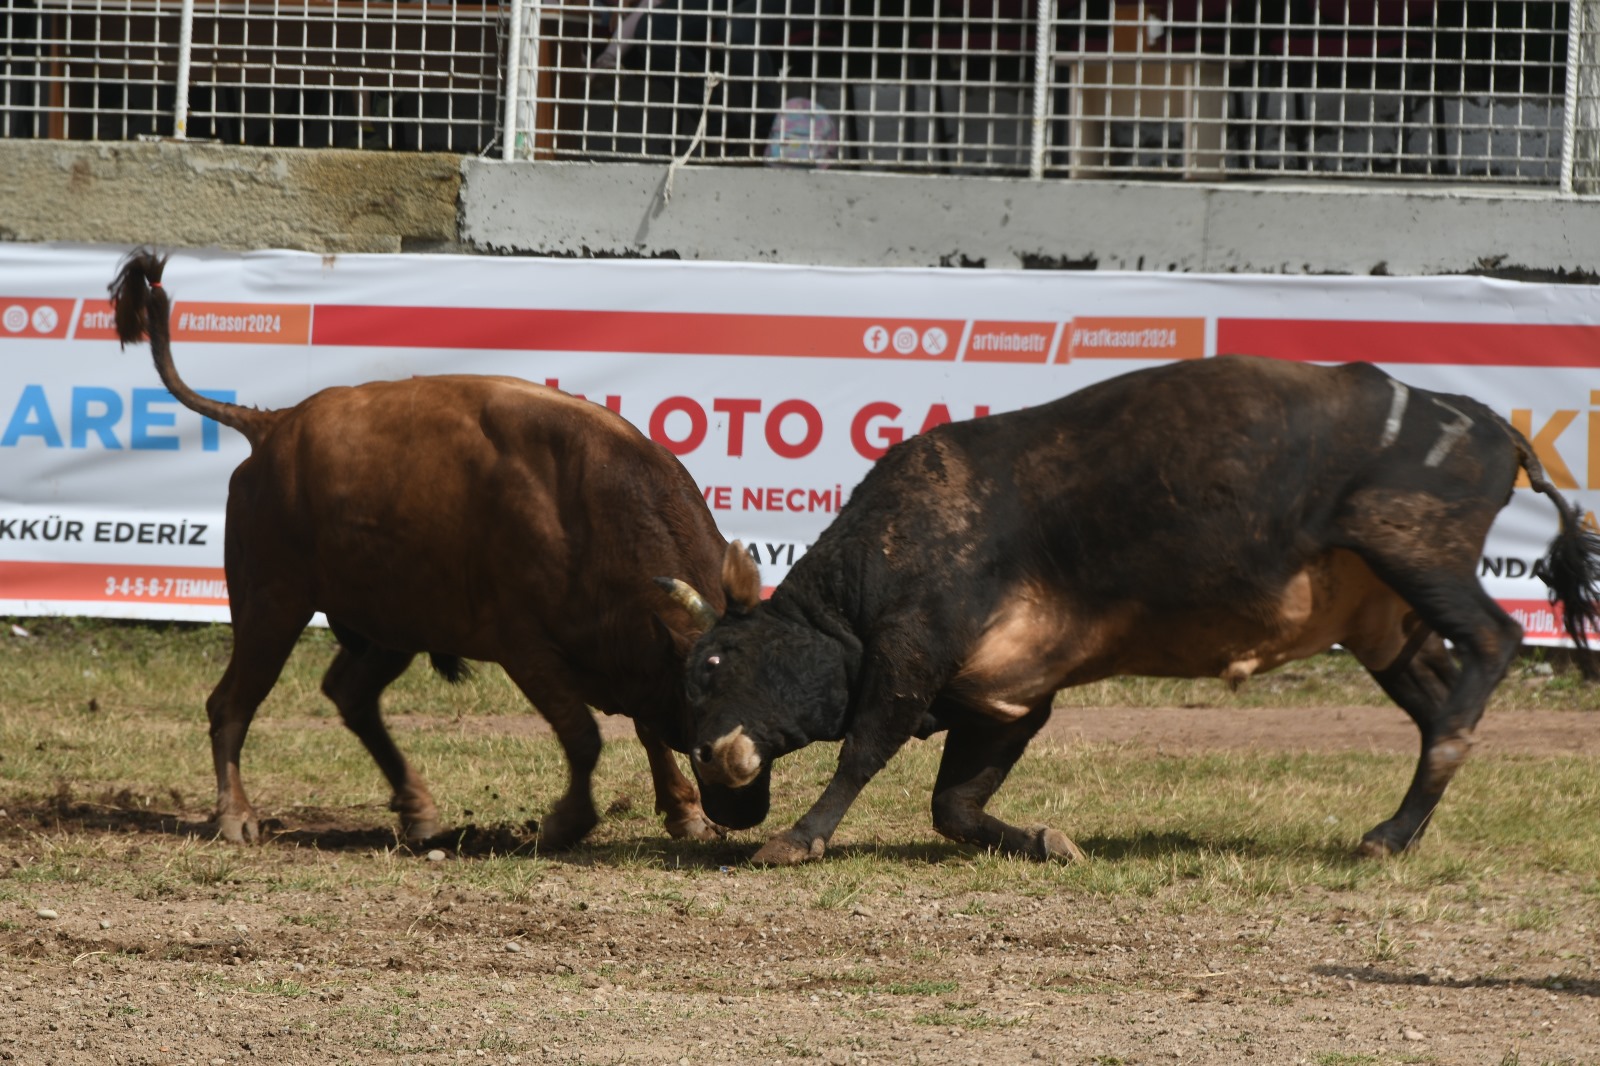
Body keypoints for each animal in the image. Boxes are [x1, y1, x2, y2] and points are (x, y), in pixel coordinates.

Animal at [109, 249, 745, 845]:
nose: (738, 799)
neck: (586, 509)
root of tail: (274, 426)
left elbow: (644, 726)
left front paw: (684, 814)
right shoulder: (524, 647)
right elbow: (584, 735)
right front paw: (567, 822)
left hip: (389, 625)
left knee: (349, 694)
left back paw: (418, 810)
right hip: (271, 605)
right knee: (231, 703)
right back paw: (237, 816)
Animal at [668, 356, 1600, 864]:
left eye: (713, 662)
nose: (706, 757)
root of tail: (1486, 424)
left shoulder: (912, 654)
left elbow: (864, 748)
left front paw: (799, 836)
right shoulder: (1007, 698)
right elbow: (955, 808)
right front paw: (1045, 841)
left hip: (1415, 553)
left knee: (1493, 640)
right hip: (1384, 618)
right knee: (1438, 690)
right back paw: (1399, 829)